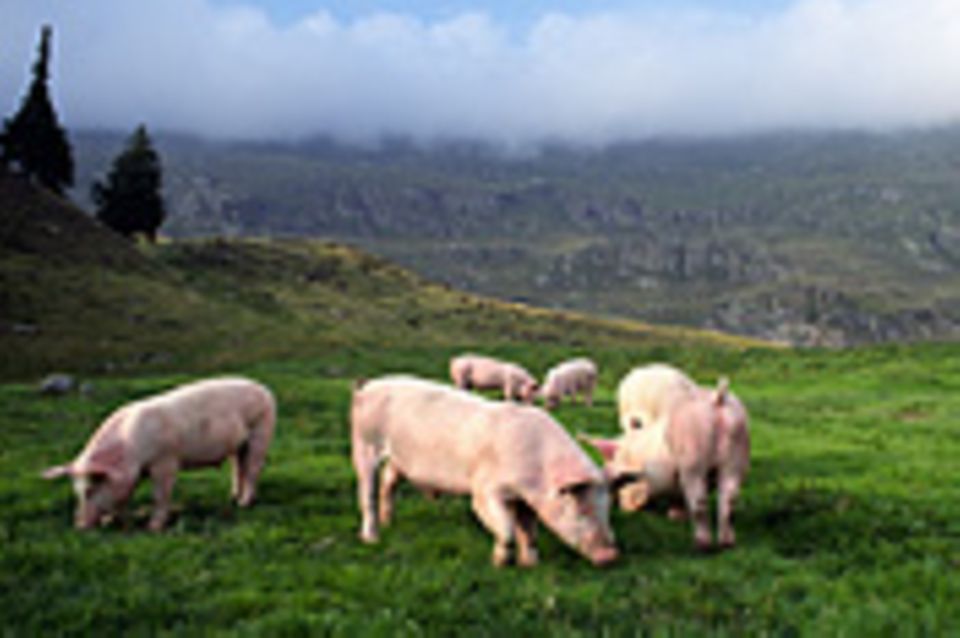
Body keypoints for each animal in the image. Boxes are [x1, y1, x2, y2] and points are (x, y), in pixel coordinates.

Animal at [43, 378, 276, 532]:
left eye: (91, 489)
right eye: (77, 491)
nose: (79, 526)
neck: (130, 449)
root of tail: (264, 389)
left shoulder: (166, 460)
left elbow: (160, 494)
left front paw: (153, 528)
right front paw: (113, 521)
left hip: (262, 429)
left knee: (254, 467)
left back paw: (245, 504)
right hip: (239, 444)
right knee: (239, 466)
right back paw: (233, 497)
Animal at [346, 378, 636, 568]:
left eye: (607, 508)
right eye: (581, 507)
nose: (611, 557)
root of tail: (365, 387)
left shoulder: (528, 499)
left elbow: (528, 531)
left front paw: (530, 564)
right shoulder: (485, 489)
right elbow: (505, 528)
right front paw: (499, 564)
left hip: (399, 460)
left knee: (388, 482)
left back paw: (388, 522)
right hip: (364, 444)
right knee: (367, 491)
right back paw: (371, 538)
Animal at [580, 378, 748, 552]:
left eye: (608, 473)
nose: (622, 507)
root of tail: (717, 398)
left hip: (694, 457)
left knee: (699, 501)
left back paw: (700, 546)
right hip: (736, 456)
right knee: (730, 499)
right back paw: (727, 544)